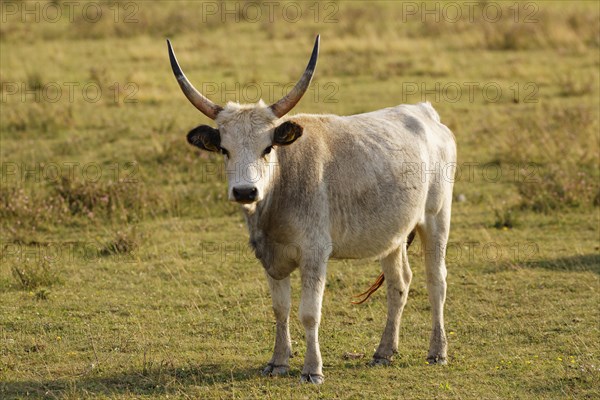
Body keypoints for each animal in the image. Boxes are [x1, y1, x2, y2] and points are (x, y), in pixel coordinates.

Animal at [166, 36, 458, 382]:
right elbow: (280, 308)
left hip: (436, 218)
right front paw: (278, 361)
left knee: (436, 280)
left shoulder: (315, 253)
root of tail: (425, 112)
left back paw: (438, 351)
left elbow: (309, 312)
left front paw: (312, 369)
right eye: (224, 150)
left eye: (268, 148)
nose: (245, 191)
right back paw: (384, 351)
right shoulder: (270, 257)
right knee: (399, 284)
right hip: (392, 234)